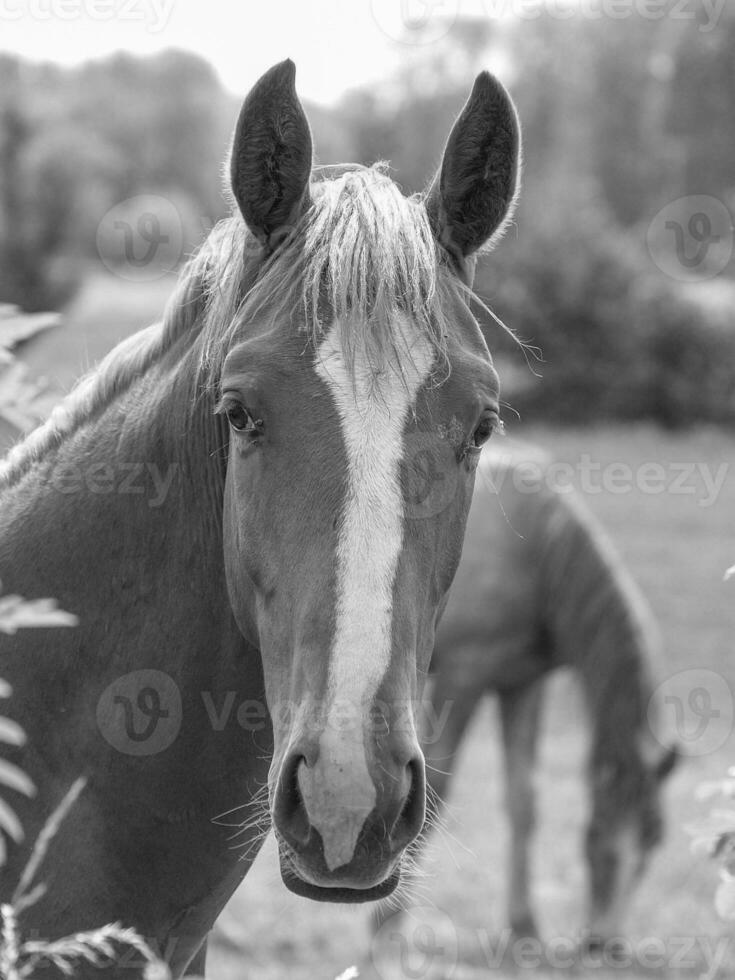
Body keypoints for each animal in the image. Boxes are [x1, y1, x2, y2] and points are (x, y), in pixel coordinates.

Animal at [380, 444, 680, 948]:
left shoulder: (521, 683)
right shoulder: (465, 677)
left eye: (653, 843)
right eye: (600, 839)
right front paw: (385, 921)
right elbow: (434, 793)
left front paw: (524, 924)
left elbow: (524, 801)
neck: (533, 551)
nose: (607, 944)